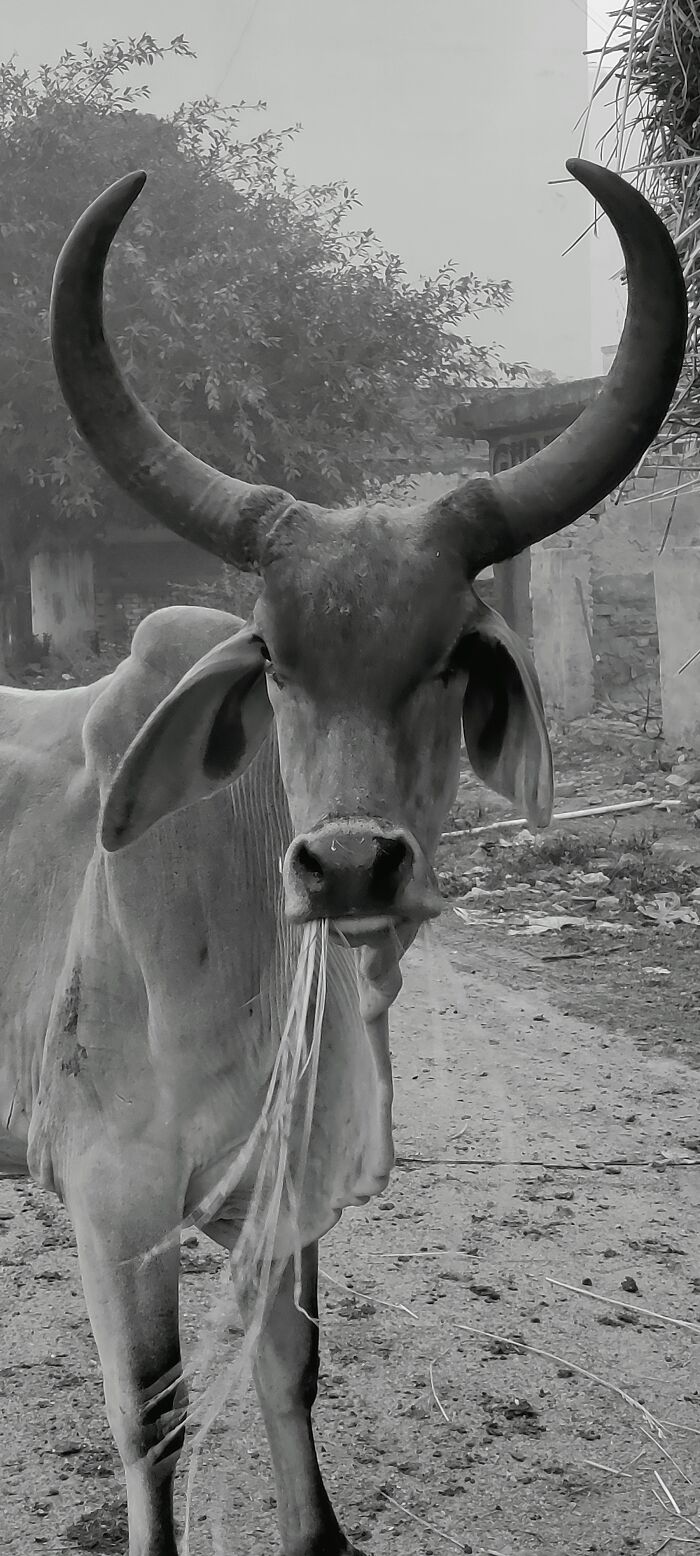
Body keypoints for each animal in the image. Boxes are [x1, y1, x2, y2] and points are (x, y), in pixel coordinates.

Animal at [0, 158, 686, 1556]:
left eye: (452, 649)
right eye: (271, 654)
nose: (352, 865)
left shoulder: (281, 1193)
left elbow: (292, 1372)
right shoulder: (111, 1193)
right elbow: (154, 1423)